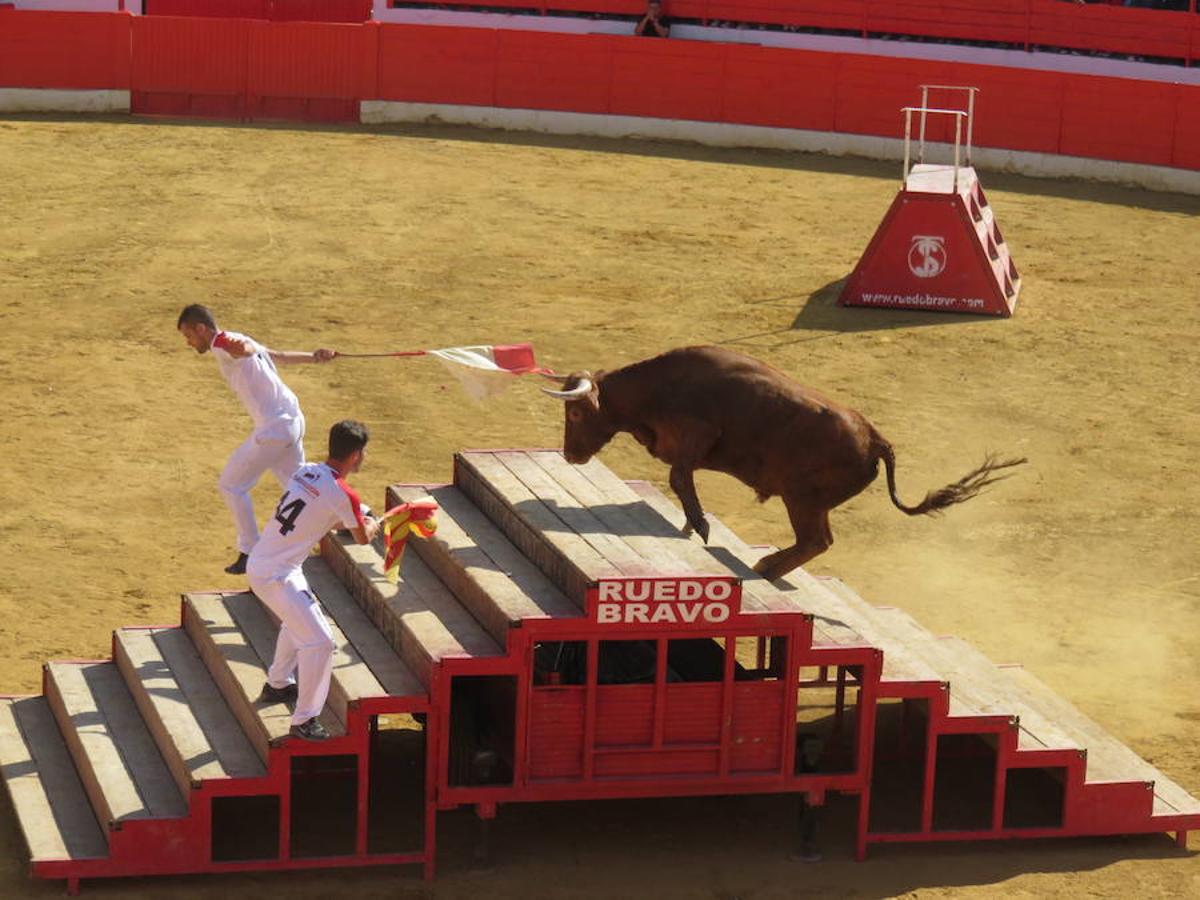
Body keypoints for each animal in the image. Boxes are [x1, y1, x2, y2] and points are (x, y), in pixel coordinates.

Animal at [544, 345, 1022, 585]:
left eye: (575, 413)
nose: (570, 455)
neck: (661, 386)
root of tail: (876, 440)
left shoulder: (695, 438)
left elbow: (679, 477)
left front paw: (699, 525)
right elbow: (681, 481)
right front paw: (689, 524)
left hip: (803, 499)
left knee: (817, 541)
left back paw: (766, 567)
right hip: (809, 501)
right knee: (815, 541)